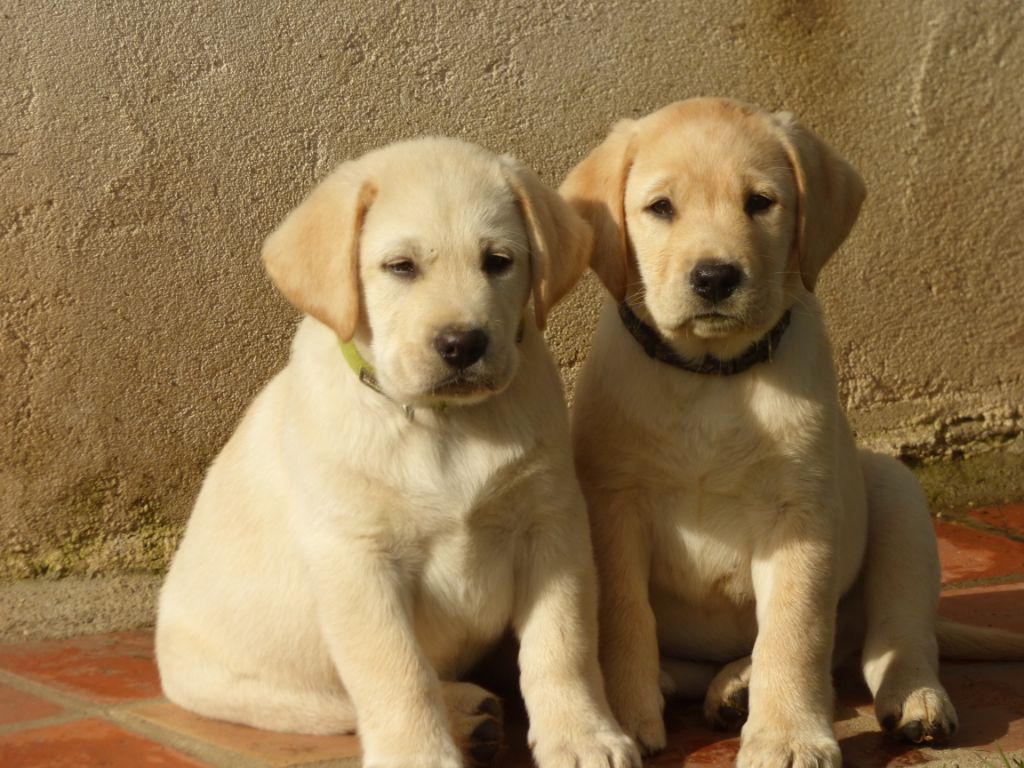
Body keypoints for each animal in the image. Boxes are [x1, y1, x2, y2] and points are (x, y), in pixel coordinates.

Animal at [157, 137, 638, 768]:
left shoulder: (551, 525)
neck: (445, 423)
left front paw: (583, 735)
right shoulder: (359, 558)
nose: (461, 344)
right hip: (250, 685)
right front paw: (420, 754)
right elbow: (398, 672)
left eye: (498, 261)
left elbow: (563, 643)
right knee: (345, 701)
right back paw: (463, 716)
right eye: (401, 267)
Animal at [561, 102, 1024, 768]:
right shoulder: (614, 505)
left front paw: (788, 736)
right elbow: (624, 616)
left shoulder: (799, 515)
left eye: (760, 202)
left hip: (897, 496)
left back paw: (913, 698)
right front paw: (623, 714)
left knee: (893, 637)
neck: (713, 376)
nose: (715, 277)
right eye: (660, 208)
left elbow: (793, 631)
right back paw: (725, 686)